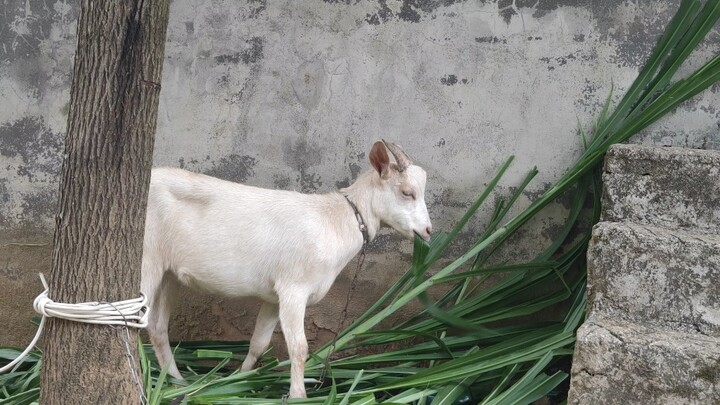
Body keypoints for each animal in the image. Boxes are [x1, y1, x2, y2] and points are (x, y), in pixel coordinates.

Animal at [141, 140, 432, 398]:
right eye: (407, 192)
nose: (428, 231)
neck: (336, 220)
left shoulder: (273, 297)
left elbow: (259, 343)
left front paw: (238, 380)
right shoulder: (294, 289)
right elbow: (299, 347)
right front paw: (298, 394)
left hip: (169, 274)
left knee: (157, 326)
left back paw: (177, 382)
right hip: (148, 260)